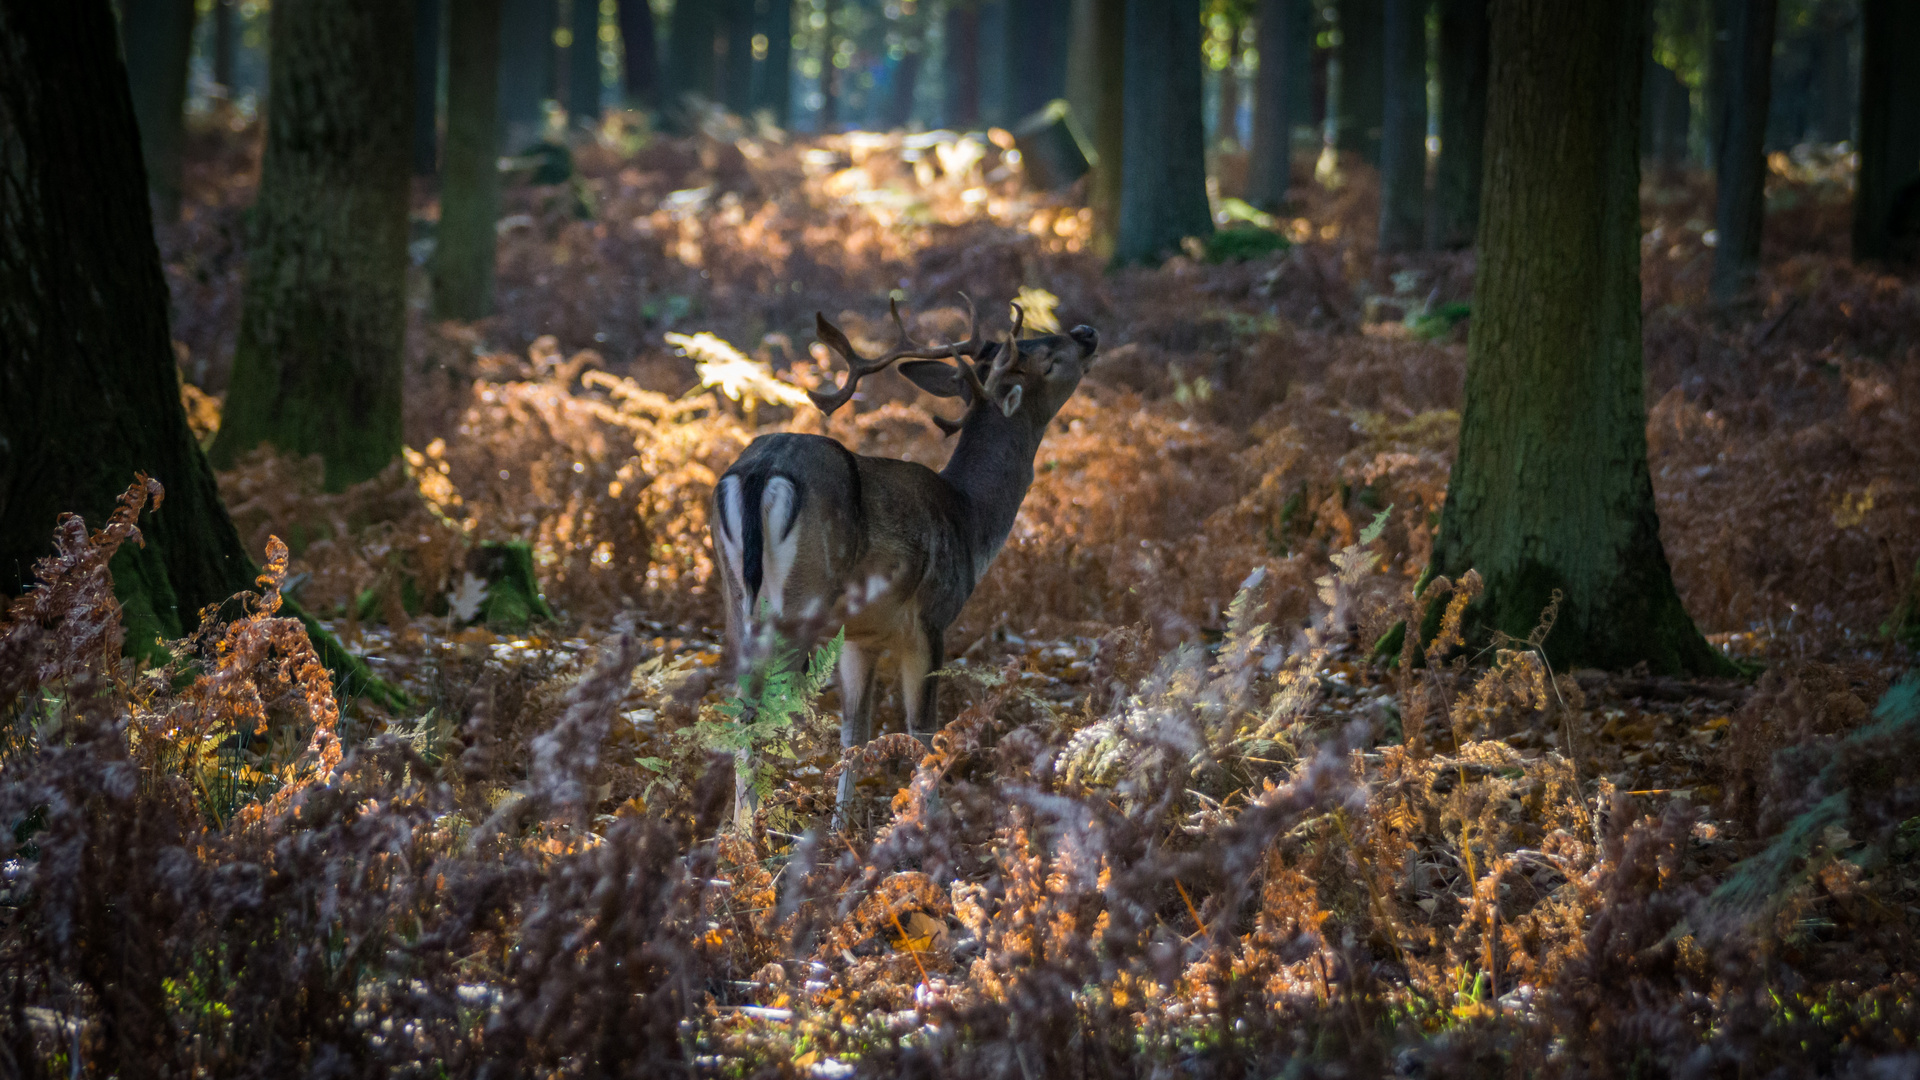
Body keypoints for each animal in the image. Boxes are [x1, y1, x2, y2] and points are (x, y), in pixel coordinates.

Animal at [710, 295, 1105, 814]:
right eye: (1047, 358)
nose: (1086, 332)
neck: (969, 521)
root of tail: (759, 472)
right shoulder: (931, 618)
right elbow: (924, 731)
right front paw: (926, 821)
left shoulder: (859, 637)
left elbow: (855, 733)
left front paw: (842, 823)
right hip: (800, 601)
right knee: (760, 710)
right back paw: (752, 826)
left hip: (734, 598)